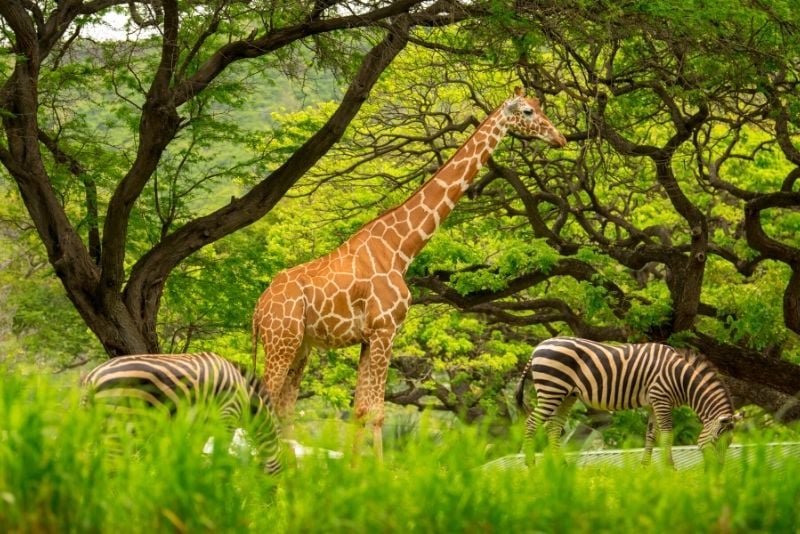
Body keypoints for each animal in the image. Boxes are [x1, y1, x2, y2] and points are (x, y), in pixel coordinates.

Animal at [83, 354, 284, 476]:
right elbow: (220, 458)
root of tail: (92, 377)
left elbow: (194, 454)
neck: (246, 398)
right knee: (110, 467)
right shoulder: (228, 415)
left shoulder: (202, 426)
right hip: (119, 425)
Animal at [253, 89, 564, 460]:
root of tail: (257, 309)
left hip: (301, 346)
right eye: (529, 111)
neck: (400, 248)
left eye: (542, 108)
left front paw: (354, 470)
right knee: (264, 403)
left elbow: (360, 410)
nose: (559, 138)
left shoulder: (368, 337)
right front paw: (377, 470)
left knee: (283, 407)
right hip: (281, 340)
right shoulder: (385, 329)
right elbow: (377, 411)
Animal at [516, 340, 740, 468]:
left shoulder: (653, 403)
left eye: (729, 443)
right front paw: (669, 467)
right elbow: (667, 434)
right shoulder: (661, 398)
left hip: (567, 394)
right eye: (717, 441)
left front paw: (644, 467)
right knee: (532, 423)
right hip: (552, 389)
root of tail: (538, 346)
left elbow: (651, 435)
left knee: (554, 428)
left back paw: (560, 465)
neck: (681, 378)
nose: (718, 471)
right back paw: (531, 464)